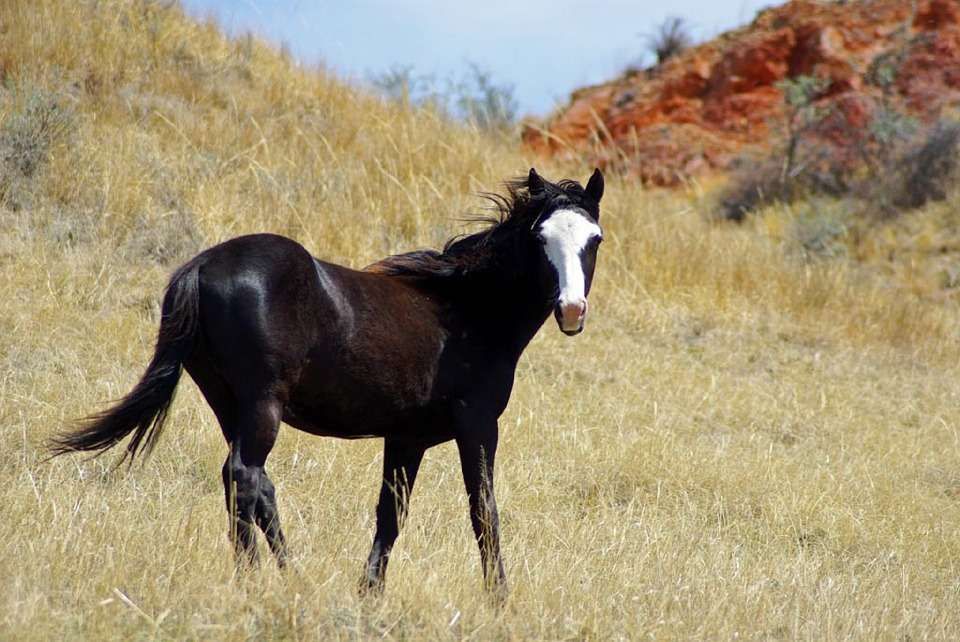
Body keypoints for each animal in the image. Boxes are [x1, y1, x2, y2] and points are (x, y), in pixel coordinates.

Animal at [49, 167, 605, 596]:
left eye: (593, 239)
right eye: (540, 238)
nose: (571, 310)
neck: (463, 311)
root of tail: (202, 266)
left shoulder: (407, 439)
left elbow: (391, 515)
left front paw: (369, 594)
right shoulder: (478, 426)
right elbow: (483, 512)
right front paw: (499, 599)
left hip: (228, 403)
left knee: (257, 485)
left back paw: (291, 578)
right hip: (262, 404)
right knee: (243, 476)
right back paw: (252, 581)